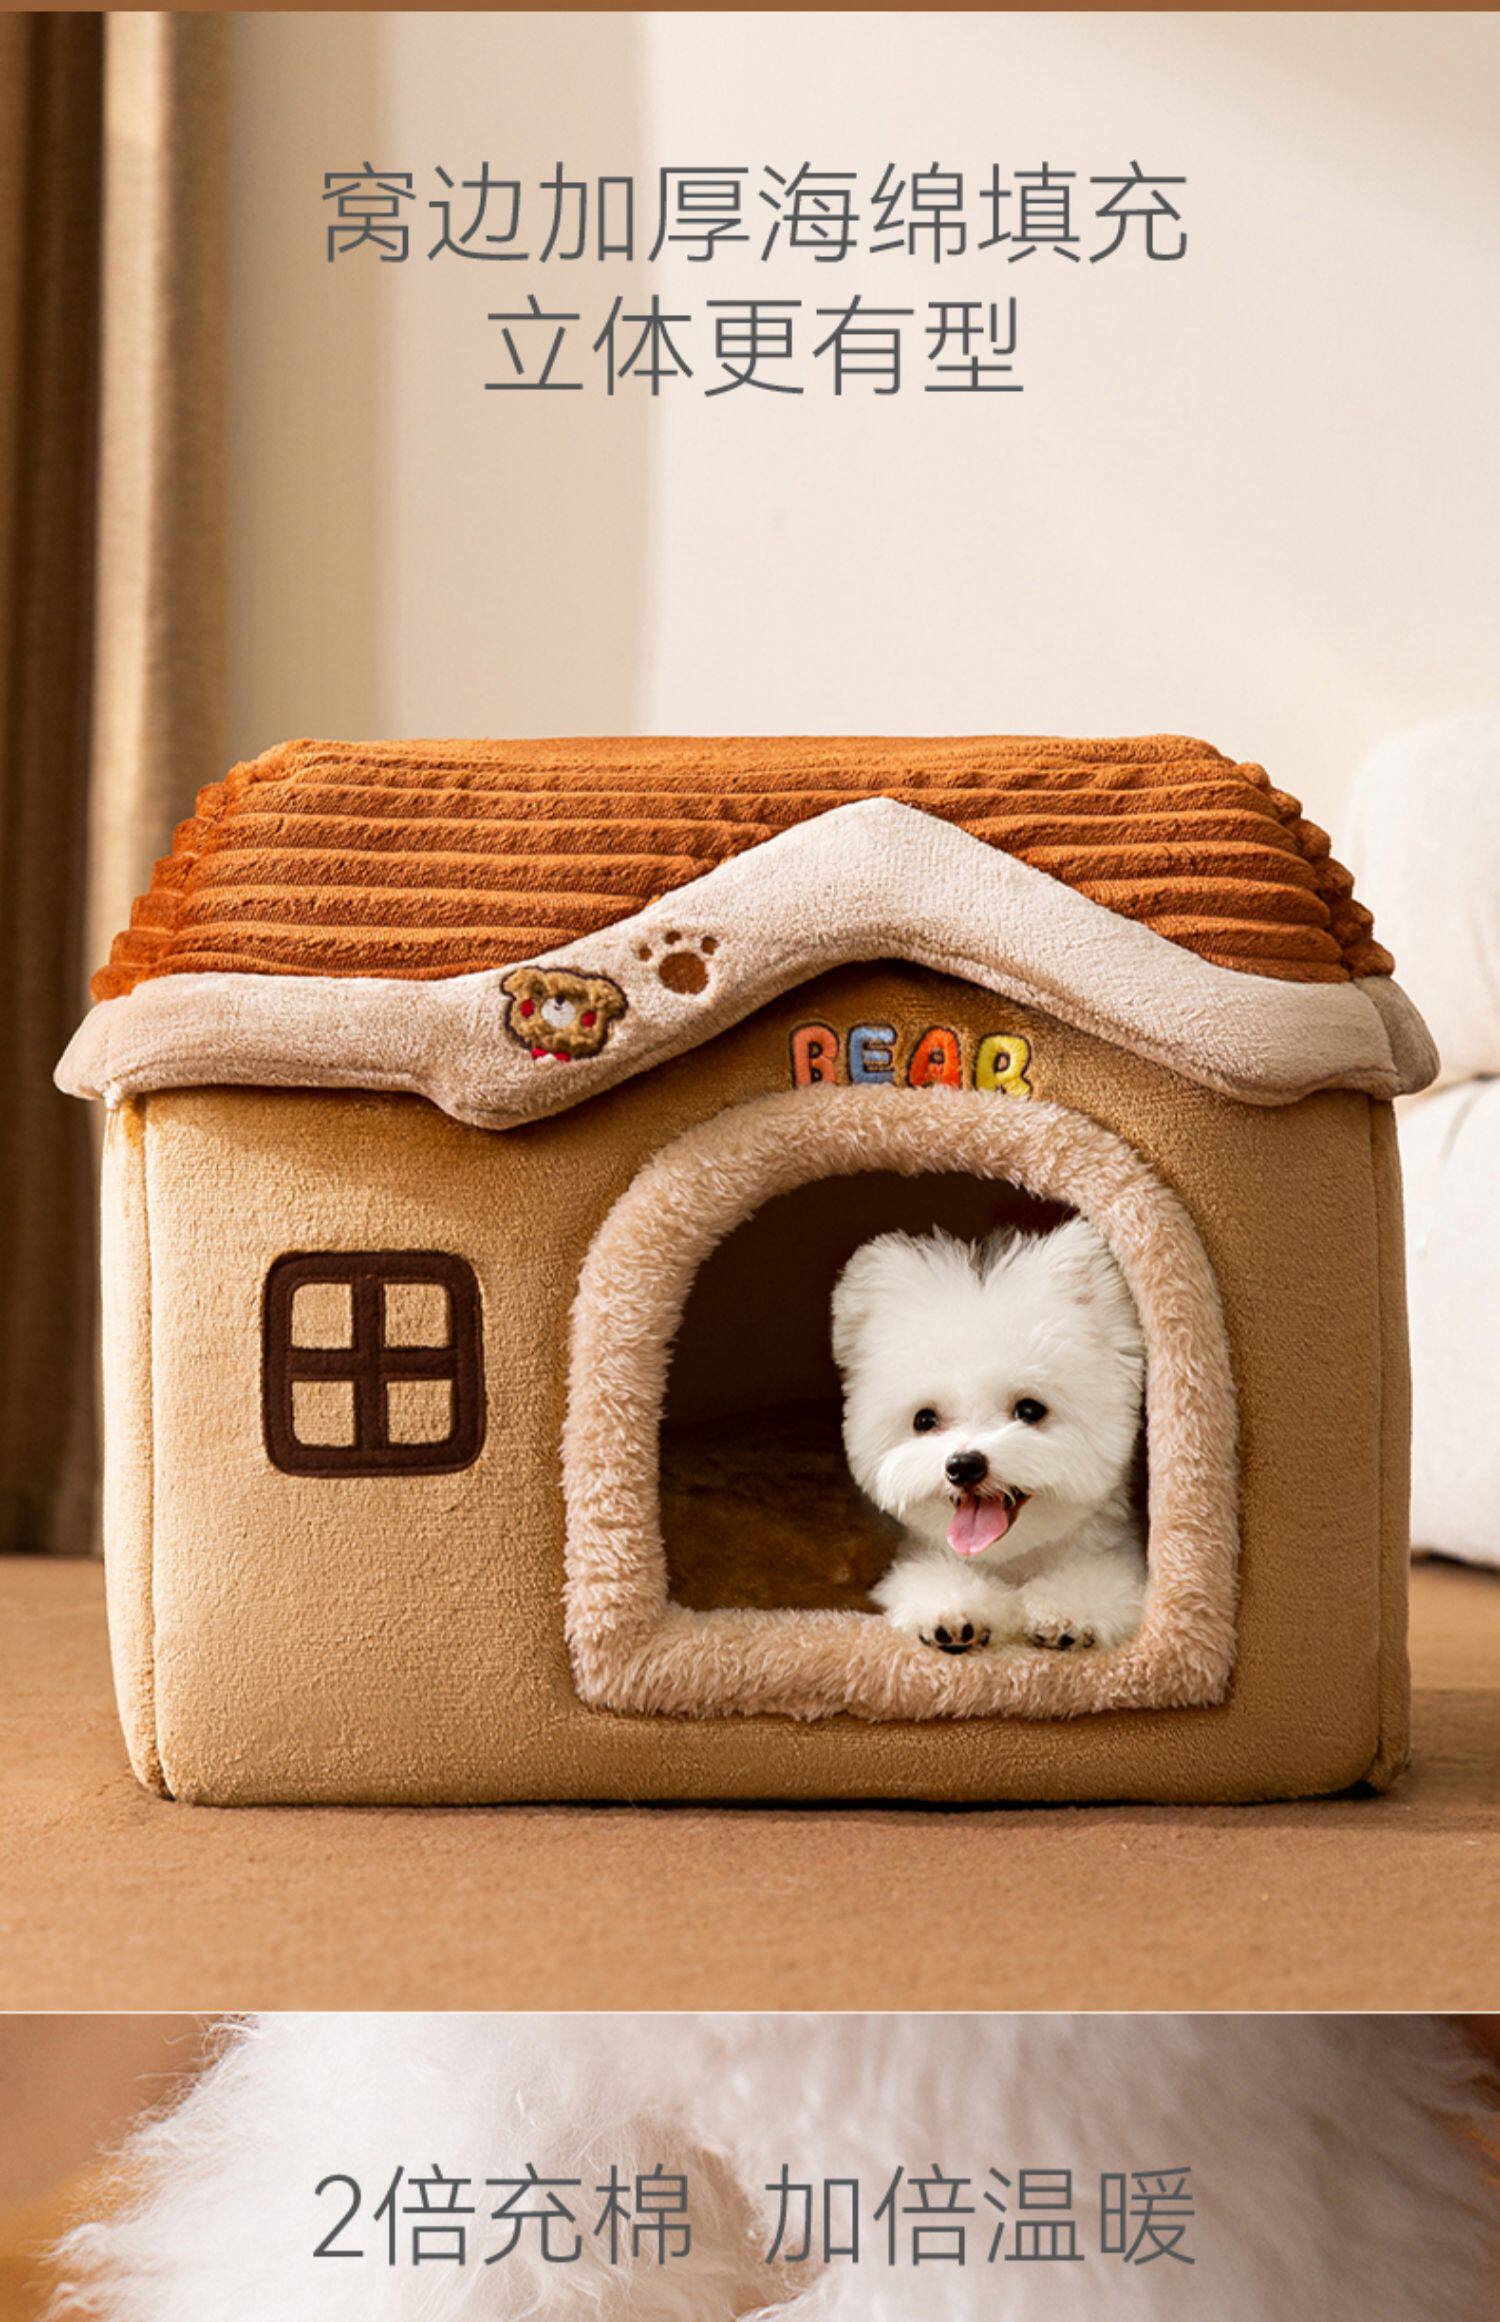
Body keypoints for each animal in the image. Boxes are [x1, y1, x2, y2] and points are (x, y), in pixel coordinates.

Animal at [831, 1219, 1147, 1655]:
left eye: (1029, 1410)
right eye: (924, 1419)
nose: (964, 1465)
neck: (1011, 1560)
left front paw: (1065, 1611)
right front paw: (954, 1610)